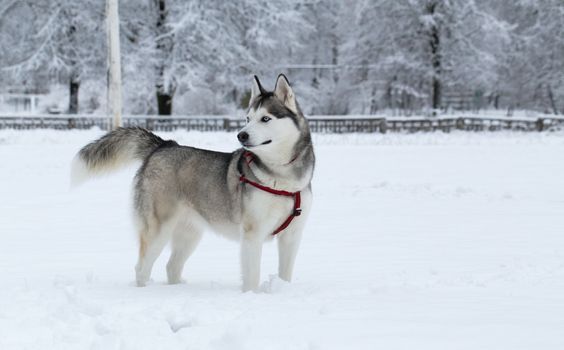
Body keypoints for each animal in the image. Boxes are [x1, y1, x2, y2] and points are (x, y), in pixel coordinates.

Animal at [71, 74, 316, 292]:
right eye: (248, 119)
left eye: (265, 118)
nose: (241, 135)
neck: (282, 180)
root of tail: (163, 145)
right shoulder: (252, 233)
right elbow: (252, 276)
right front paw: (252, 296)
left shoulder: (292, 235)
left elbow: (285, 273)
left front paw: (281, 289)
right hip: (158, 229)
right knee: (141, 268)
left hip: (190, 233)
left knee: (171, 266)